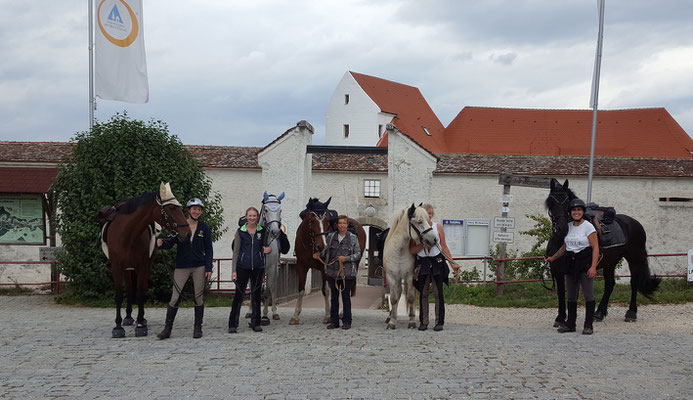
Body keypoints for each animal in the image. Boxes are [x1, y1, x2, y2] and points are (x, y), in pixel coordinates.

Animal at [98, 184, 189, 338]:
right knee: (129, 288)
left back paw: (141, 318)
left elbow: (141, 292)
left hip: (146, 266)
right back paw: (128, 317)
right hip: (127, 269)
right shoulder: (116, 268)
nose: (188, 233)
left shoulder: (142, 266)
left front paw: (140, 324)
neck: (127, 234)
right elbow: (119, 295)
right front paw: (118, 327)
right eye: (172, 208)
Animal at [540, 179, 660, 324]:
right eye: (551, 203)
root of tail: (635, 223)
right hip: (610, 262)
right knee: (610, 284)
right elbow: (561, 293)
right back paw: (599, 313)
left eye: (567, 203)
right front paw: (560, 318)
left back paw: (631, 312)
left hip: (634, 259)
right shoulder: (557, 271)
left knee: (634, 282)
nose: (562, 228)